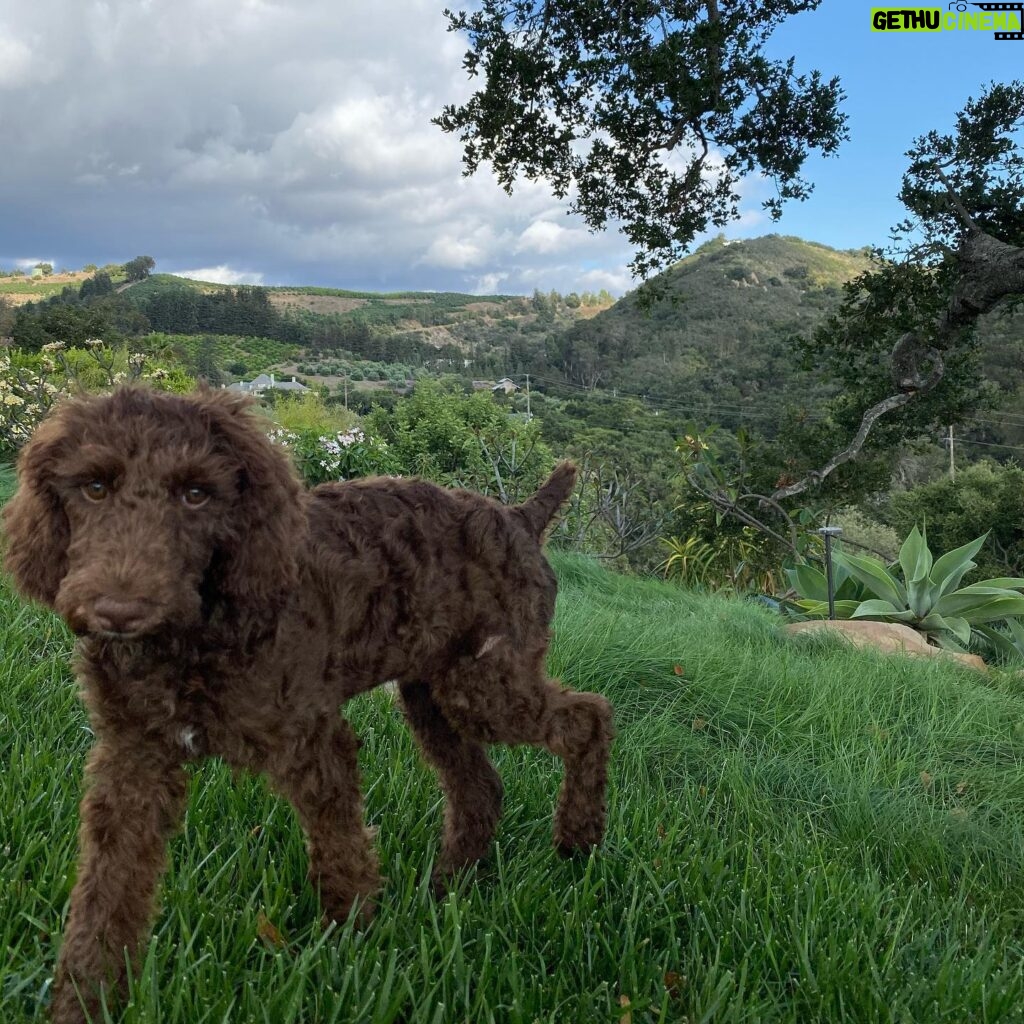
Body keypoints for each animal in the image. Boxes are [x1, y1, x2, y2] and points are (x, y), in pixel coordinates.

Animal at [4, 385, 614, 1024]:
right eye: (94, 487)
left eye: (197, 494)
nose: (119, 612)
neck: (195, 636)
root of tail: (520, 517)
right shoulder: (132, 762)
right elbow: (106, 892)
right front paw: (85, 998)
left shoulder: (314, 742)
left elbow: (341, 856)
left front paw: (351, 953)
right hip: (432, 695)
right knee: (481, 785)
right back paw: (449, 883)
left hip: (484, 684)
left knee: (587, 717)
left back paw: (578, 841)